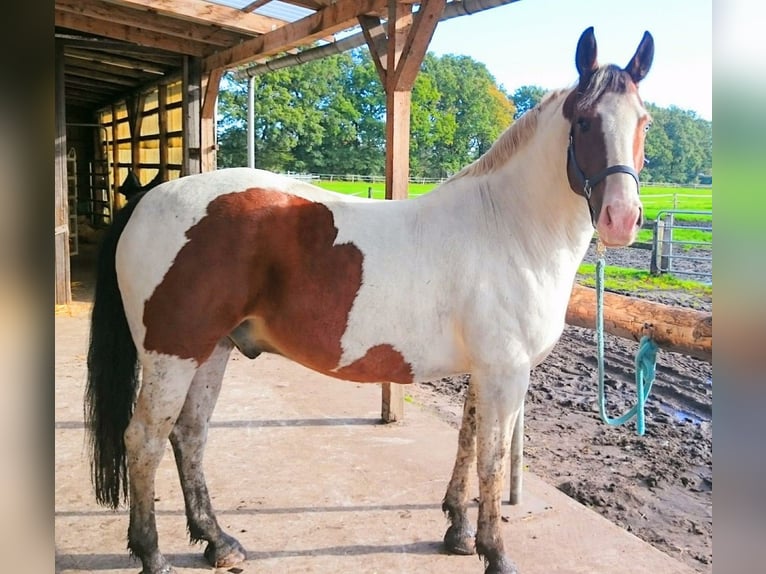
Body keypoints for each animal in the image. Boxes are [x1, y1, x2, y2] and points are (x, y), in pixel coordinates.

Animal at [87, 25, 656, 574]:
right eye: (584, 121)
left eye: (644, 122)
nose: (622, 219)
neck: (507, 227)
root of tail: (150, 198)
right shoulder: (506, 372)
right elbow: (492, 462)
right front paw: (495, 553)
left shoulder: (483, 371)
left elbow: (467, 442)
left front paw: (457, 531)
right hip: (173, 354)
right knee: (144, 440)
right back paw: (152, 554)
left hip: (213, 350)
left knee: (189, 435)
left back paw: (217, 540)